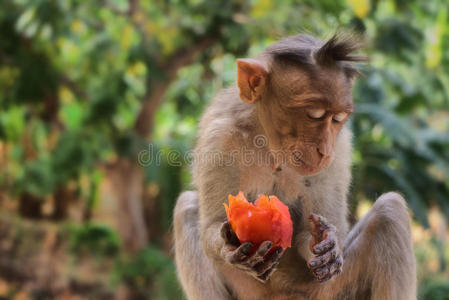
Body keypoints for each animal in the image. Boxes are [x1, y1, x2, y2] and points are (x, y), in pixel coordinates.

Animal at [172, 33, 416, 300]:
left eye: (338, 119)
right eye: (314, 114)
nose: (324, 151)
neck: (270, 145)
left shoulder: (341, 147)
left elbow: (324, 230)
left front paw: (323, 241)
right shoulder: (218, 138)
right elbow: (211, 226)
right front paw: (228, 244)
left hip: (323, 291)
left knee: (389, 212)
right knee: (186, 207)